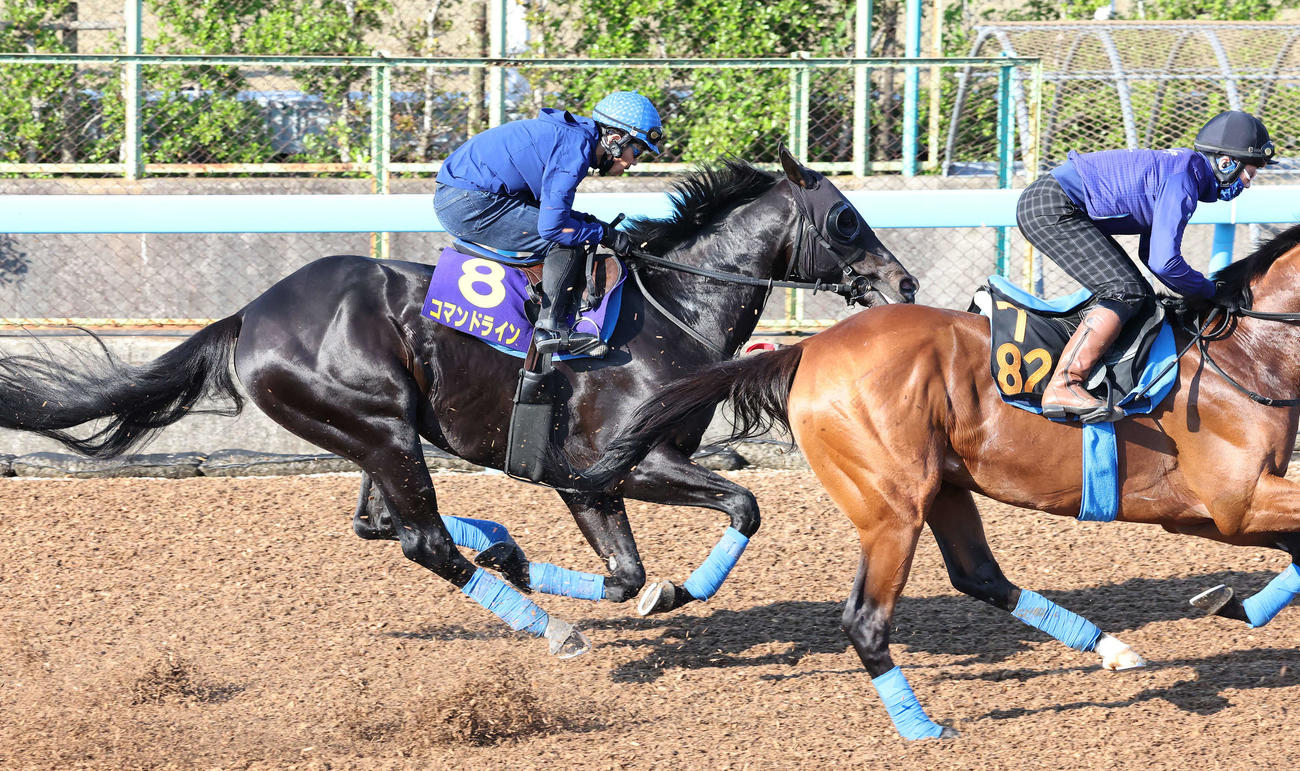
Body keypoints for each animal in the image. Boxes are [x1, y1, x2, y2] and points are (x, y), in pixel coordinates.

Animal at [0, 148, 918, 659]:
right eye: (845, 217)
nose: (903, 282)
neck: (672, 309)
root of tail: (250, 313)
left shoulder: (582, 479)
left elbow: (625, 573)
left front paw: (591, 577)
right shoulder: (622, 460)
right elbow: (744, 504)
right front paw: (676, 594)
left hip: (377, 433)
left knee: (384, 523)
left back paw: (503, 551)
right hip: (376, 427)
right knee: (424, 541)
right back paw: (550, 628)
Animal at [562, 224, 1300, 737]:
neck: (1246, 355)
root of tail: (810, 347)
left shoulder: (1224, 511)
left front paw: (1232, 604)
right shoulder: (1232, 503)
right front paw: (1235, 605)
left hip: (945, 486)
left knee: (980, 576)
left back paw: (1112, 648)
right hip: (894, 506)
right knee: (866, 619)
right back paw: (919, 726)